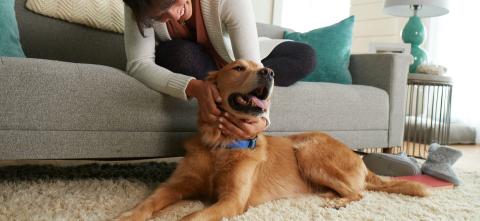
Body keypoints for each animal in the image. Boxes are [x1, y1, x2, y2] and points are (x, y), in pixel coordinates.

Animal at [115, 59, 428, 220]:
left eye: (262, 65)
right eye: (238, 68)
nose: (270, 72)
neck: (222, 144)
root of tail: (360, 160)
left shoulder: (233, 200)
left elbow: (189, 217)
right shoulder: (175, 185)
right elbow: (147, 203)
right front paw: (126, 215)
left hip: (308, 152)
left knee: (359, 193)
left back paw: (336, 202)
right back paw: (329, 196)